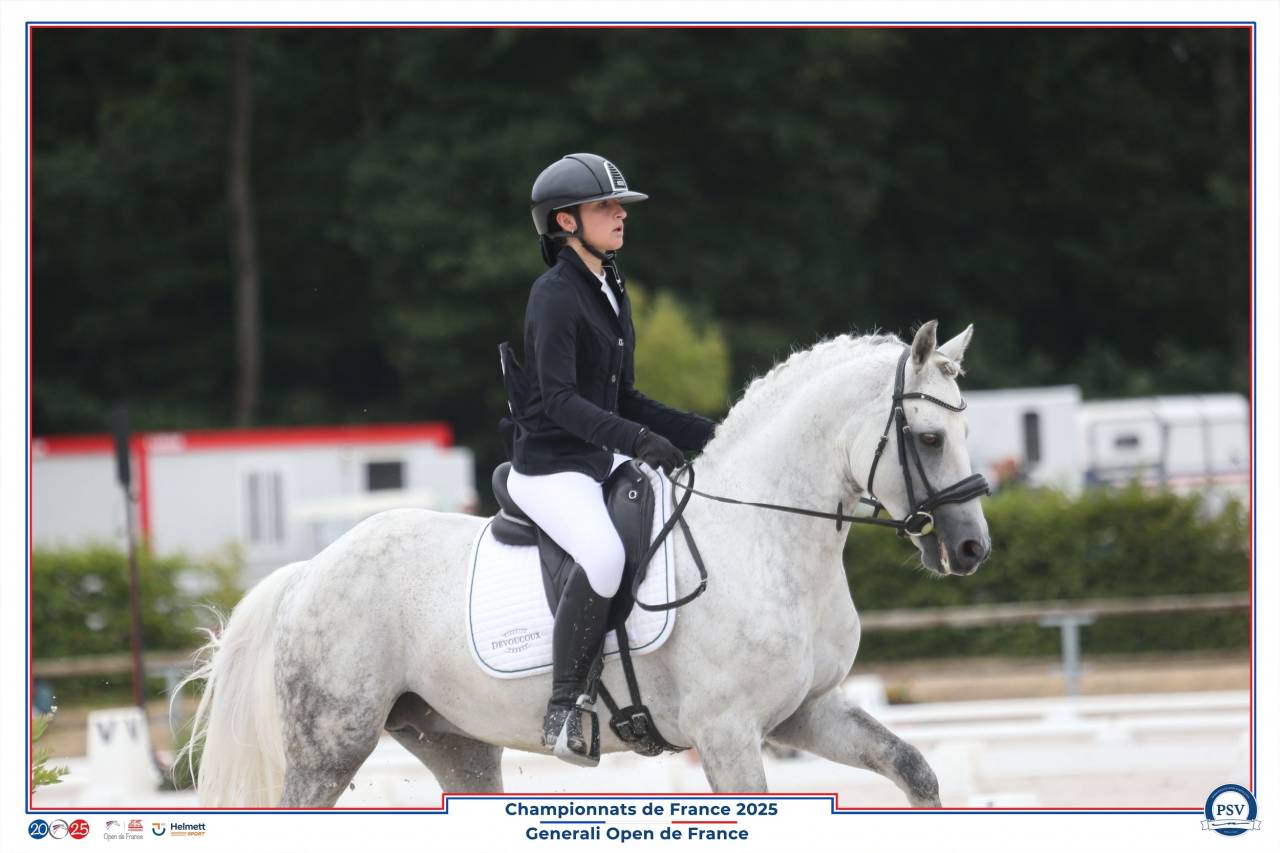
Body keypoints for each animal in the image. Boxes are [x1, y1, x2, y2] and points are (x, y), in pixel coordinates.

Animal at [175, 320, 991, 807]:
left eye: (964, 431)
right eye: (925, 437)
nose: (972, 547)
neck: (764, 536)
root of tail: (310, 570)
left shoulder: (804, 710)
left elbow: (914, 768)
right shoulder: (728, 730)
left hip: (451, 740)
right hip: (331, 742)